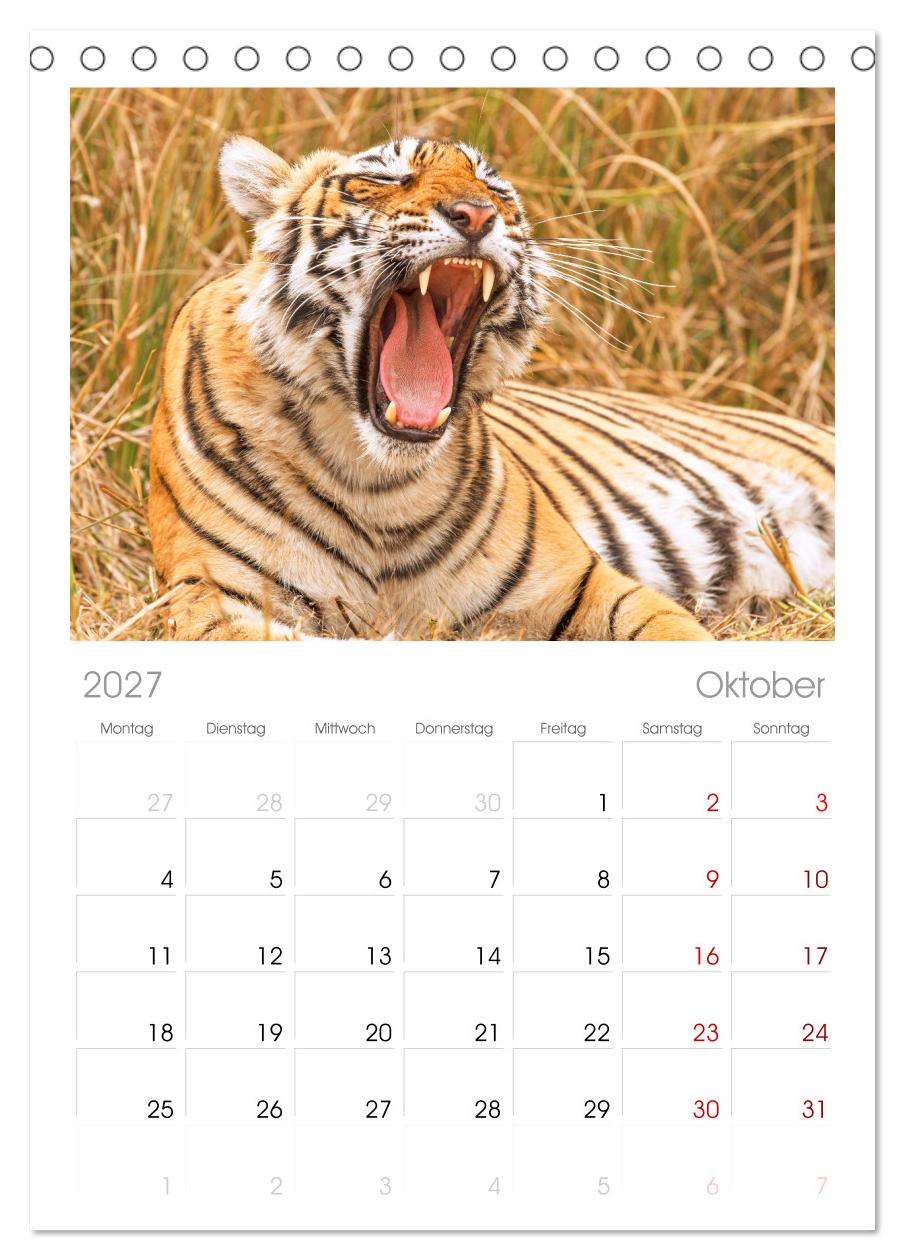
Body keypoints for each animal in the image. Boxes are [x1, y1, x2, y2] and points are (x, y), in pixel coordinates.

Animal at [148, 135, 834, 641]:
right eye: (387, 178)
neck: (378, 485)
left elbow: (675, 632)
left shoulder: (586, 585)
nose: (476, 214)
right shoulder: (223, 601)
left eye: (496, 189)